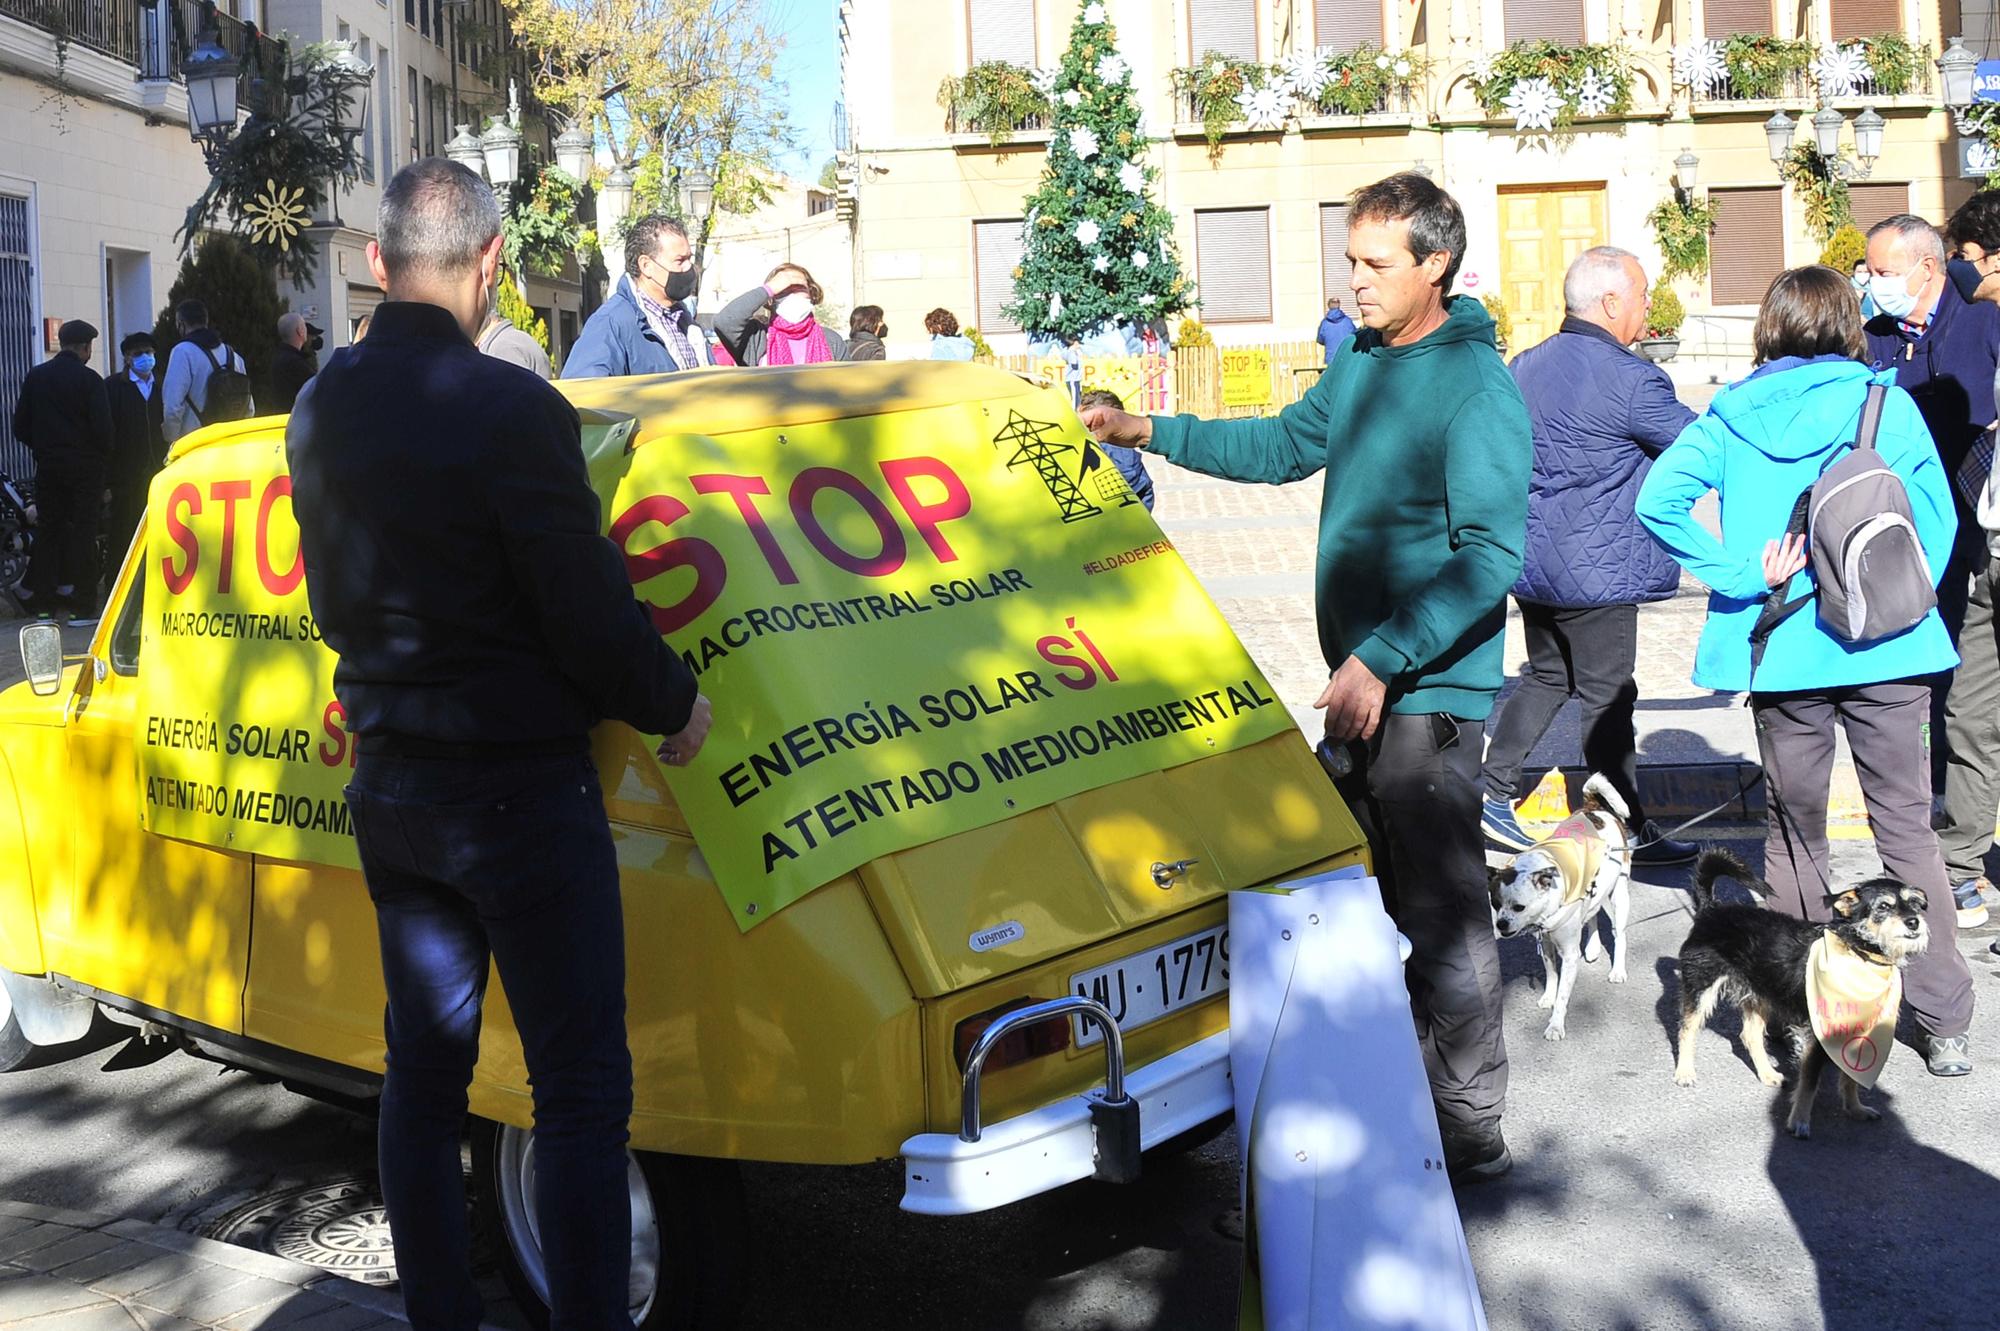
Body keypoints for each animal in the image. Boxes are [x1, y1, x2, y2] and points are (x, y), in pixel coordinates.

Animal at [1496, 771, 1632, 1039]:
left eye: (1519, 907)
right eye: (1496, 904)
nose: (1501, 924)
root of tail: (1594, 808)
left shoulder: (1569, 954)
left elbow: (1563, 993)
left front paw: (1555, 1024)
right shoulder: (1547, 943)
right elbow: (1551, 975)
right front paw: (1548, 996)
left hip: (1620, 894)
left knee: (1619, 934)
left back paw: (1617, 970)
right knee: (1592, 913)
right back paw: (1592, 946)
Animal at [1680, 843, 1928, 1135]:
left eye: (1914, 903)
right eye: (1884, 907)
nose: (1914, 921)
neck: (1859, 952)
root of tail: (1710, 909)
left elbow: (1851, 1079)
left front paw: (1855, 1109)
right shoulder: (1815, 1036)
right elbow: (1809, 1081)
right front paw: (1799, 1121)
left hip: (1759, 995)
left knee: (1749, 1035)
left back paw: (1768, 1074)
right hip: (1701, 987)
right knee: (1686, 1029)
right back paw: (1684, 1072)